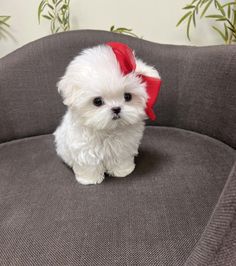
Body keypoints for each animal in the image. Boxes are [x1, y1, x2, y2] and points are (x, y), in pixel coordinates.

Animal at [54, 41, 160, 185]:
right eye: (97, 101)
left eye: (127, 96)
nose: (116, 108)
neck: (109, 130)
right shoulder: (84, 146)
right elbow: (88, 161)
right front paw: (89, 179)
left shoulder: (123, 145)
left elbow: (120, 158)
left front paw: (123, 171)